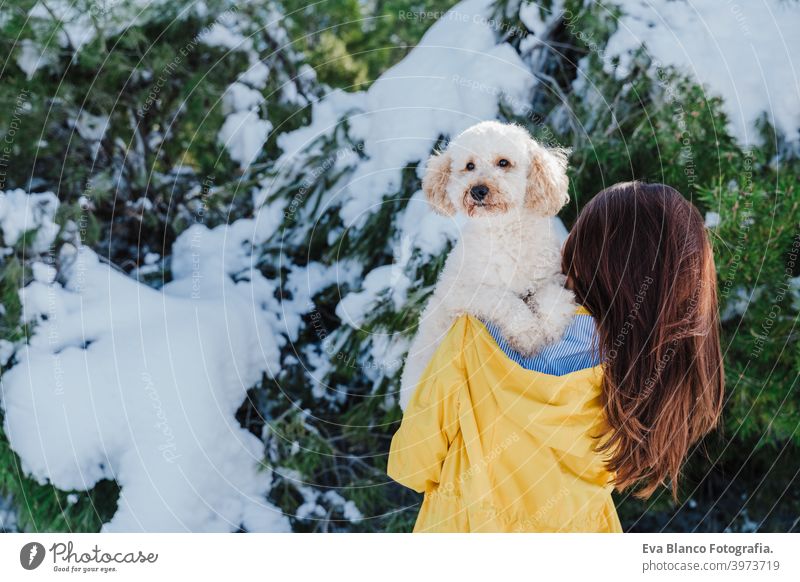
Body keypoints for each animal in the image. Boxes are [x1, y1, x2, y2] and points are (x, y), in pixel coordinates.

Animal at [400, 120, 576, 410]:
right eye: (469, 166)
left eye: (503, 162)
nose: (478, 190)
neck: (503, 233)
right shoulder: (462, 293)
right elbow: (504, 300)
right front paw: (528, 335)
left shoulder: (553, 277)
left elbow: (554, 299)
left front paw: (550, 329)